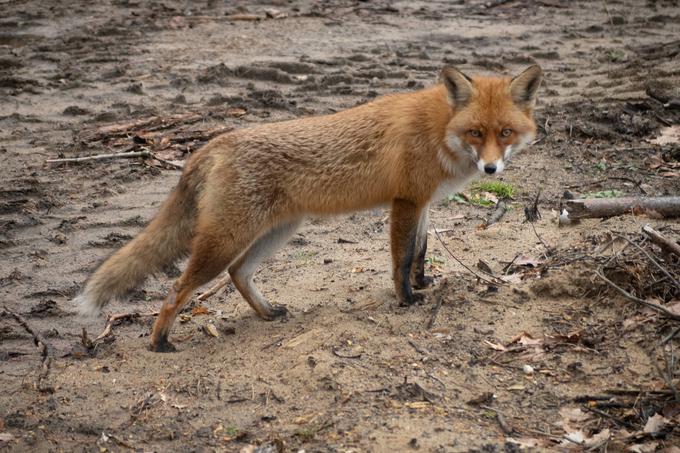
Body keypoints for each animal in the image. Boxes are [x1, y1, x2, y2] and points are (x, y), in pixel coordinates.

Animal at [75, 65, 540, 352]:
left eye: (504, 132)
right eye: (476, 132)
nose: (491, 167)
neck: (440, 129)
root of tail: (210, 145)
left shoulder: (421, 201)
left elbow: (421, 252)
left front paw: (423, 284)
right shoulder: (406, 201)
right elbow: (401, 258)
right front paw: (406, 299)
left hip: (278, 230)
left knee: (238, 273)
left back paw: (266, 313)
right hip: (226, 240)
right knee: (176, 290)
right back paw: (159, 342)